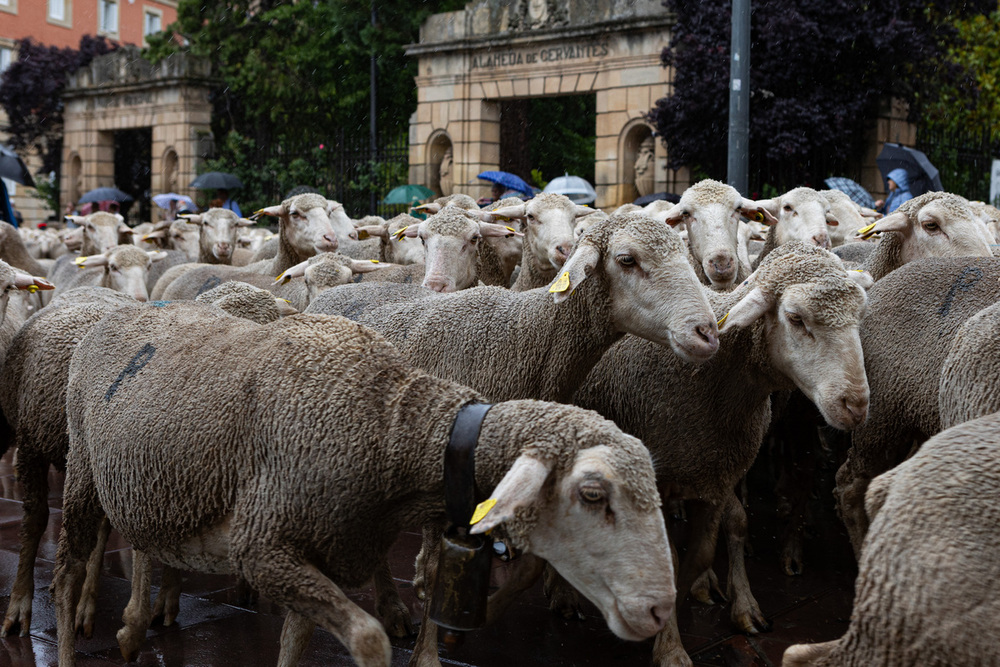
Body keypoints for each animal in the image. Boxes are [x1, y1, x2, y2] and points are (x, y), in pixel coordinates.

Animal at [56, 302, 680, 667]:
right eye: (593, 494)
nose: (658, 611)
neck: (392, 428)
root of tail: (112, 315)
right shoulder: (263, 548)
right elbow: (370, 641)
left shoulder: (314, 553)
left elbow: (295, 644)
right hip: (82, 473)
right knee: (66, 575)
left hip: (150, 480)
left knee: (142, 542)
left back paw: (132, 632)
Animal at [572, 244, 876, 667]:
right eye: (796, 318)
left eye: (859, 316)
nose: (856, 405)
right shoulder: (658, 482)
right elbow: (671, 558)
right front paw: (670, 647)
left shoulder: (717, 475)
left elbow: (706, 549)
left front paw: (718, 601)